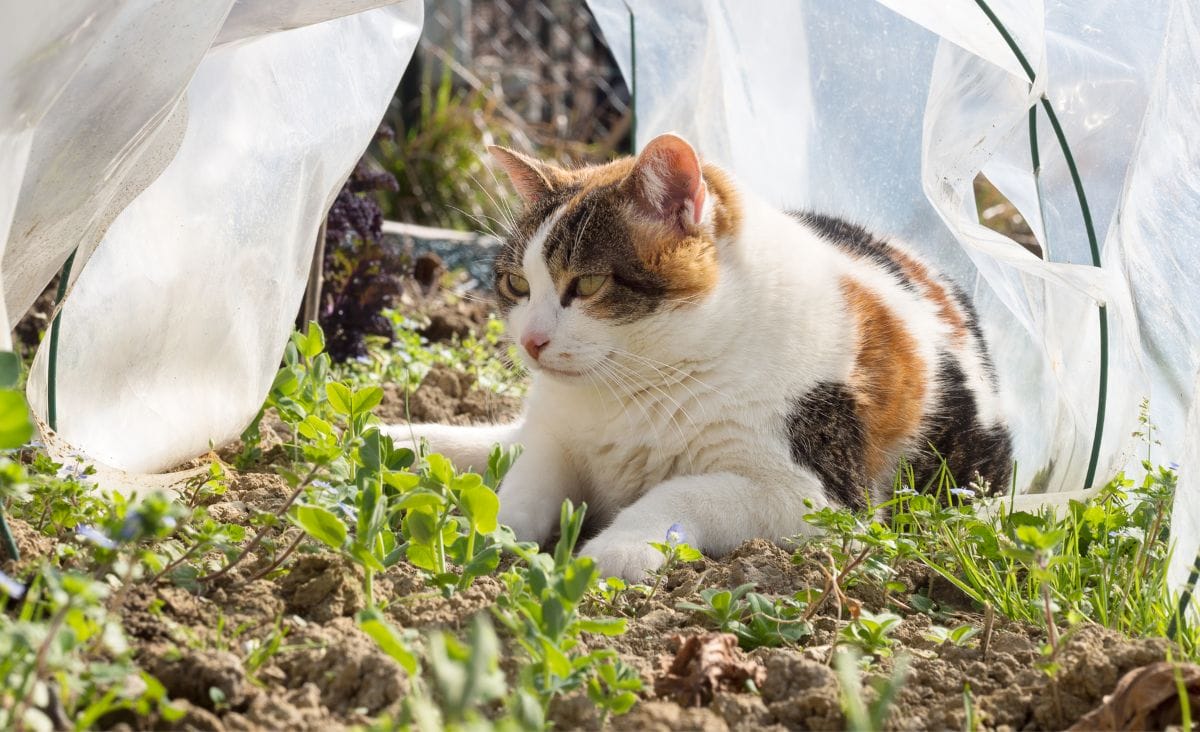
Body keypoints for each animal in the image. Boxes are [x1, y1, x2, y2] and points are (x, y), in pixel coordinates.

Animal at [393, 130, 1012, 576]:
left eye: (587, 284)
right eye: (516, 285)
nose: (530, 341)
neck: (636, 389)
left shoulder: (819, 496)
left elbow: (685, 490)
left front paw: (617, 547)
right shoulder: (554, 435)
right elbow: (526, 477)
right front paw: (492, 534)